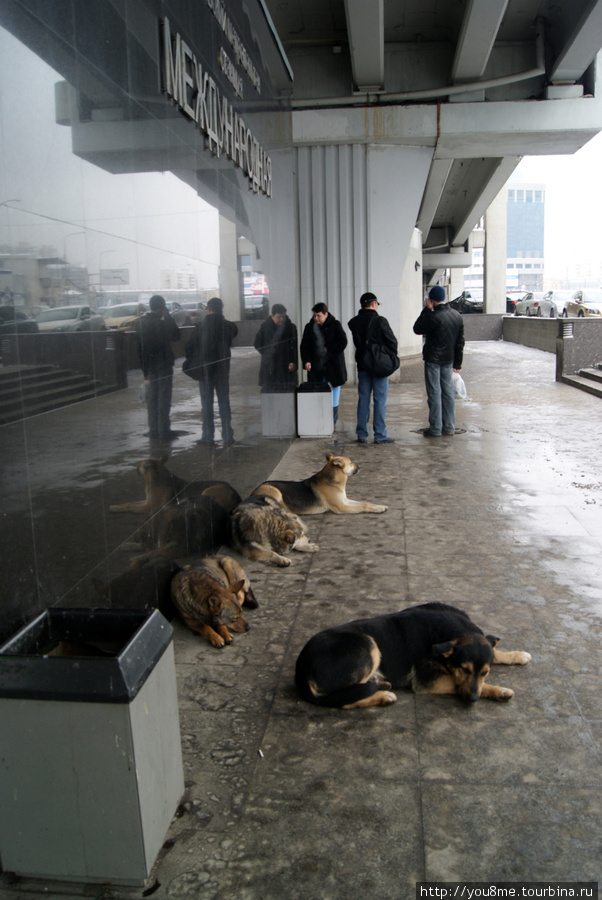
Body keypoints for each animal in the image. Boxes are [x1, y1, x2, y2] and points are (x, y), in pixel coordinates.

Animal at [109, 458, 240, 512]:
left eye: (141, 465)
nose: (135, 468)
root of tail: (236, 496)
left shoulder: (149, 506)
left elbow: (130, 506)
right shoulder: (147, 501)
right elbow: (128, 503)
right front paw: (115, 506)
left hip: (207, 491)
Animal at [251, 454, 386, 516]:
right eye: (351, 462)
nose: (360, 467)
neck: (331, 481)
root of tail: (252, 493)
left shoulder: (345, 501)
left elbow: (365, 503)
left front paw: (379, 506)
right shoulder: (341, 506)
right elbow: (363, 506)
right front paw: (377, 509)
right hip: (275, 492)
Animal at [292, 604, 528, 712]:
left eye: (486, 672)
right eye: (464, 670)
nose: (472, 699)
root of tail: (300, 667)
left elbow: (495, 651)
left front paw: (518, 655)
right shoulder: (427, 682)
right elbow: (466, 685)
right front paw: (500, 691)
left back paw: (382, 686)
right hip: (368, 645)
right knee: (344, 701)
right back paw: (383, 695)